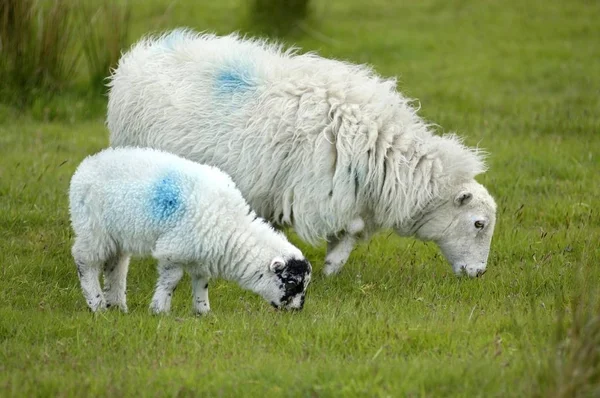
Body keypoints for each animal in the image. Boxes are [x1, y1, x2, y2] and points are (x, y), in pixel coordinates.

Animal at [69, 146, 312, 314]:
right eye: (292, 283)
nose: (297, 310)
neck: (231, 226)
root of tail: (85, 166)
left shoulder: (201, 253)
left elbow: (202, 281)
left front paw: (203, 311)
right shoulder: (174, 249)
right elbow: (172, 281)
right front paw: (159, 310)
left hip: (116, 234)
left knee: (116, 265)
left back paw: (117, 305)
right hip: (92, 227)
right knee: (85, 260)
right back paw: (97, 304)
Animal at [106, 29, 496, 278]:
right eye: (479, 224)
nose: (478, 273)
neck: (385, 152)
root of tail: (137, 54)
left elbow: (350, 233)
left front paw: (333, 264)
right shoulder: (317, 193)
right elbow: (351, 227)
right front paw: (331, 263)